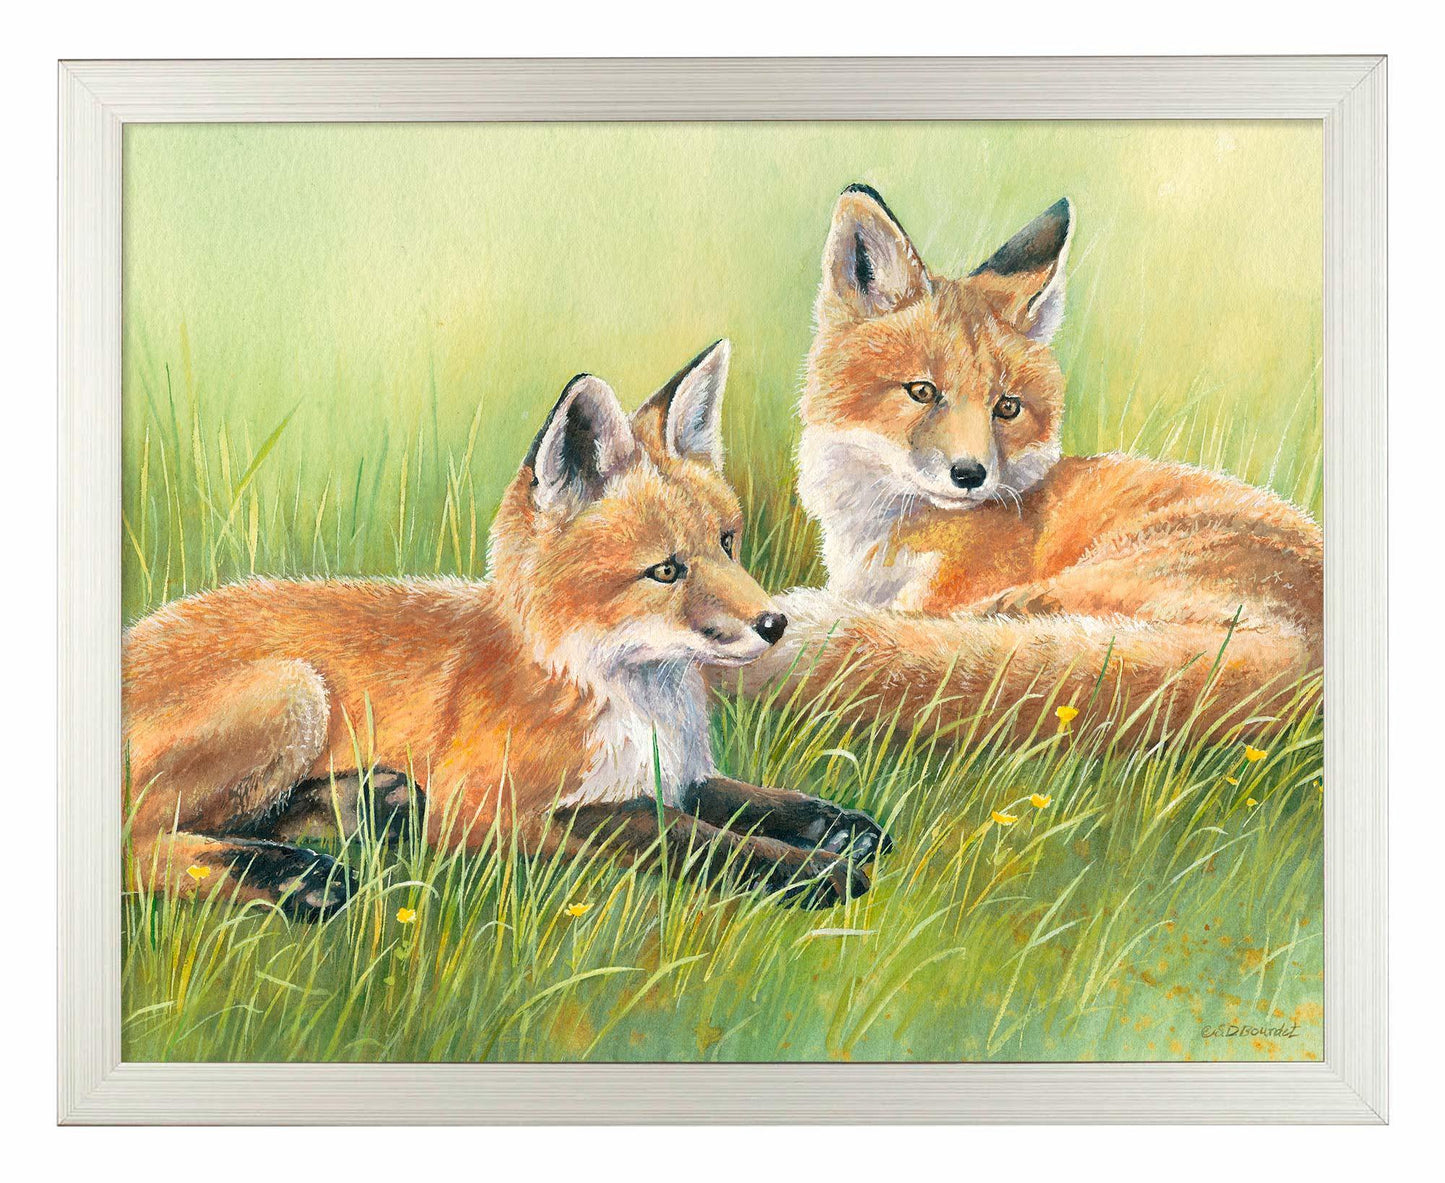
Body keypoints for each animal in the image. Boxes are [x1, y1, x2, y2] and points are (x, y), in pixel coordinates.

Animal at [122, 340, 888, 920]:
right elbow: (678, 832)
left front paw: (833, 824)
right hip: (294, 690)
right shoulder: (496, 809)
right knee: (140, 843)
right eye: (666, 570)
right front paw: (813, 871)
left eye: (727, 543)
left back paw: (360, 807)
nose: (773, 623)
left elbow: (738, 800)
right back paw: (294, 877)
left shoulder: (671, 771)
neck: (620, 696)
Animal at [738, 186, 1323, 742]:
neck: (885, 538)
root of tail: (1305, 656)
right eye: (922, 391)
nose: (970, 476)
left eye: (1007, 407)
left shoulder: (943, 592)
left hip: (1084, 579)